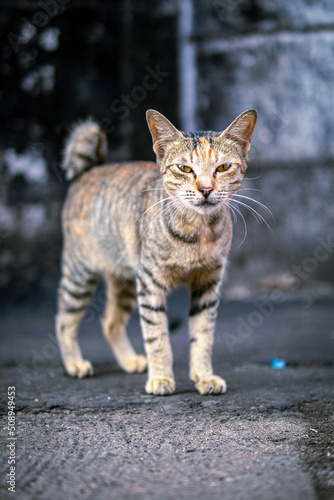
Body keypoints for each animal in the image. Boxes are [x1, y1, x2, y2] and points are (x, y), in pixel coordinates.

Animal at [56, 108, 258, 394]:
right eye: (184, 168)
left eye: (223, 167)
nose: (206, 189)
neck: (198, 233)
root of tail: (91, 168)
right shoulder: (150, 282)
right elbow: (157, 336)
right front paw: (161, 378)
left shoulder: (208, 283)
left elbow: (203, 335)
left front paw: (203, 376)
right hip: (81, 273)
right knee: (64, 320)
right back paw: (74, 363)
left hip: (126, 280)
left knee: (110, 322)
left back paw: (129, 360)